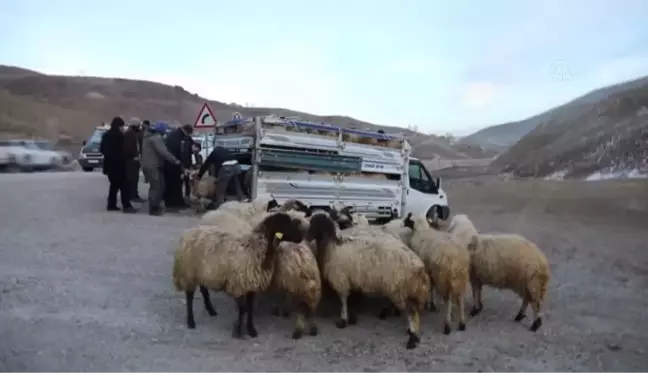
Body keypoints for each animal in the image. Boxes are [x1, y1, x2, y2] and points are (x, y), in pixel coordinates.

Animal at [171, 209, 306, 338]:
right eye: (287, 224)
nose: (301, 238)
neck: (256, 248)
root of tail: (188, 233)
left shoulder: (251, 284)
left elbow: (250, 308)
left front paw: (251, 330)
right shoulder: (239, 284)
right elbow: (242, 309)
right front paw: (238, 331)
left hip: (202, 272)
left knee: (203, 289)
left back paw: (211, 310)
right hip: (188, 272)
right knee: (189, 296)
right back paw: (191, 321)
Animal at [308, 211, 430, 348]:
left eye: (318, 224)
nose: (307, 237)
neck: (332, 245)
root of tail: (419, 267)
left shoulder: (341, 280)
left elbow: (343, 301)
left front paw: (343, 320)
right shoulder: (351, 281)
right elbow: (351, 300)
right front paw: (352, 318)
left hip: (400, 290)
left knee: (411, 313)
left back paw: (412, 337)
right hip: (403, 290)